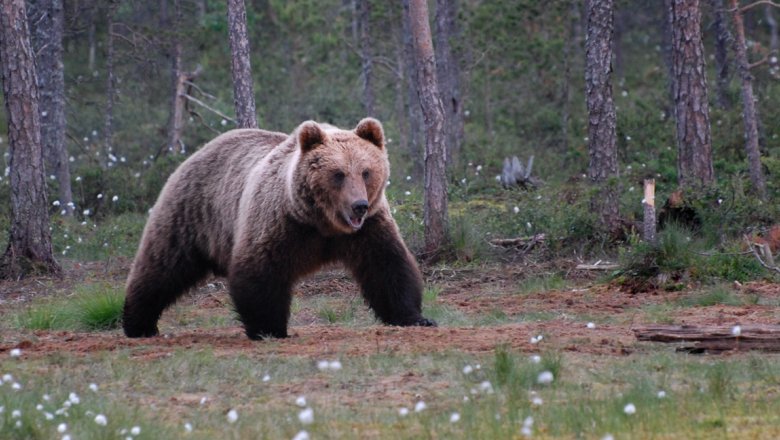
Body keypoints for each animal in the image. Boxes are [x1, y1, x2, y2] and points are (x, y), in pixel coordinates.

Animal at [125, 118, 436, 338]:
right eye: (338, 174)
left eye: (366, 172)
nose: (358, 205)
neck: (323, 224)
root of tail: (199, 150)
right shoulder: (281, 222)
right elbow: (262, 270)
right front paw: (269, 328)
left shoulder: (369, 229)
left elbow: (388, 266)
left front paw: (416, 317)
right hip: (192, 215)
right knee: (162, 265)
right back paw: (137, 323)